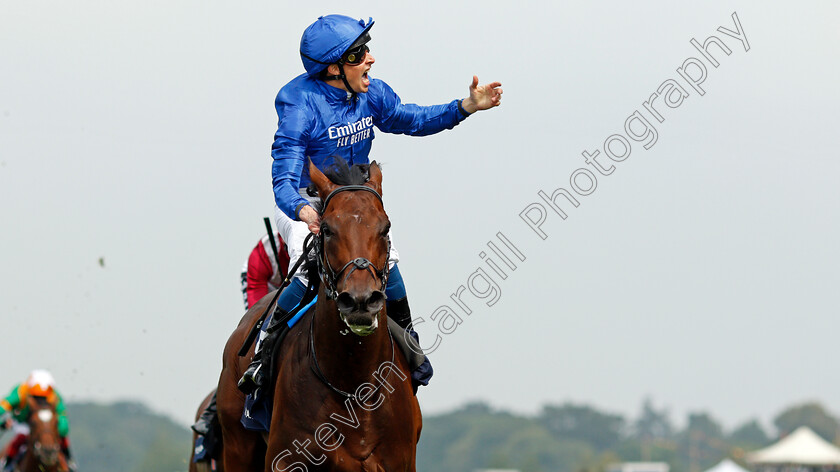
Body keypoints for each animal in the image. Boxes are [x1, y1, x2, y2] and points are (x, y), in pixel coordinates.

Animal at [215, 160, 420, 470]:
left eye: (385, 228)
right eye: (326, 229)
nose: (360, 301)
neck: (354, 385)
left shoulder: (400, 461)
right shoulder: (283, 459)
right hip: (237, 444)